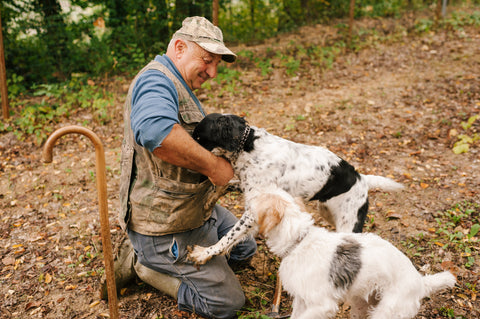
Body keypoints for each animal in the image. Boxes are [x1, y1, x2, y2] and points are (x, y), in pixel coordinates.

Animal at [186, 114, 404, 266]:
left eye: (198, 137)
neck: (249, 147)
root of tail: (362, 179)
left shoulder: (253, 212)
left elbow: (228, 237)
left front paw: (204, 253)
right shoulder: (250, 190)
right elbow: (226, 184)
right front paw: (209, 199)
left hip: (349, 223)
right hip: (327, 212)